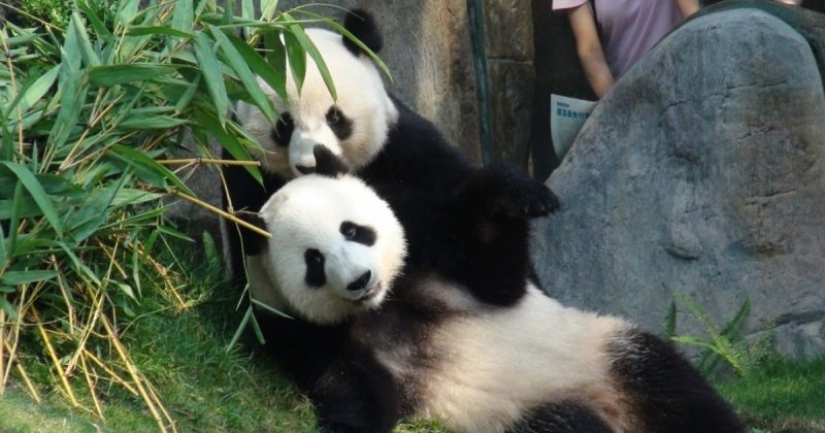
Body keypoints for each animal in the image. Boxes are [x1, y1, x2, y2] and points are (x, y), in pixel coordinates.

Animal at [238, 149, 740, 432]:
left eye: (354, 230)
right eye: (314, 261)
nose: (361, 280)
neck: (383, 306)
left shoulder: (424, 237)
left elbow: (499, 277)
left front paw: (518, 195)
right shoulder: (302, 331)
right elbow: (347, 383)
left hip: (603, 354)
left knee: (671, 388)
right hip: (526, 412)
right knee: (568, 424)